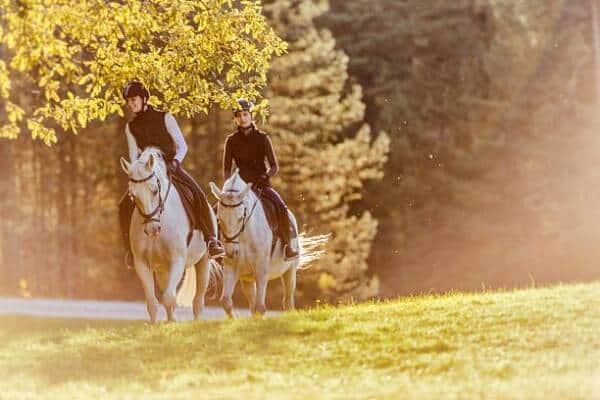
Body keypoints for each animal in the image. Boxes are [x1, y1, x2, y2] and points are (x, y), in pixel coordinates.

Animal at [120, 148, 218, 324]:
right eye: (133, 196)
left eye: (154, 190)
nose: (152, 229)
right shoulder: (142, 263)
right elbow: (153, 302)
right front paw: (156, 326)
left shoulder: (177, 260)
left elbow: (169, 298)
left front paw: (172, 325)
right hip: (162, 269)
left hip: (204, 262)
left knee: (198, 301)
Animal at [209, 170, 326, 314]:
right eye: (219, 219)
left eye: (241, 217)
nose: (231, 252)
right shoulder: (231, 269)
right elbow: (226, 302)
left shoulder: (261, 271)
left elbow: (260, 307)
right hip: (247, 279)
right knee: (252, 304)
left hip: (290, 272)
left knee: (288, 303)